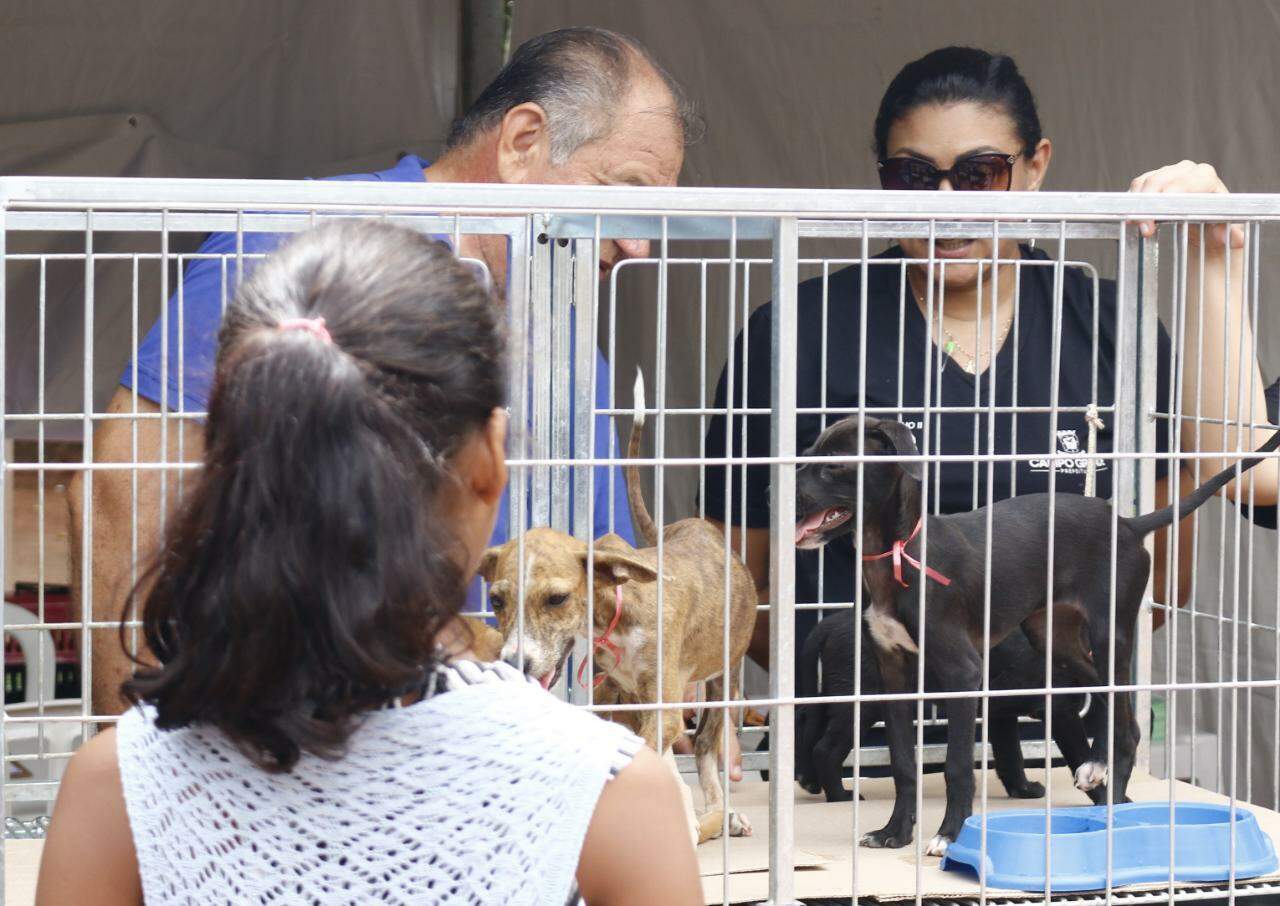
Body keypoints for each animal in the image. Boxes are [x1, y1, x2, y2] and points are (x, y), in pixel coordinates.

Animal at [793, 604, 1105, 803]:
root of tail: (829, 623)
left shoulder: (1000, 713)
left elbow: (1010, 756)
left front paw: (1024, 789)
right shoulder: (1062, 710)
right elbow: (1081, 755)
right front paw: (1109, 800)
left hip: (832, 696)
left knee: (807, 728)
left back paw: (810, 781)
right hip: (861, 705)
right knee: (825, 749)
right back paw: (840, 796)